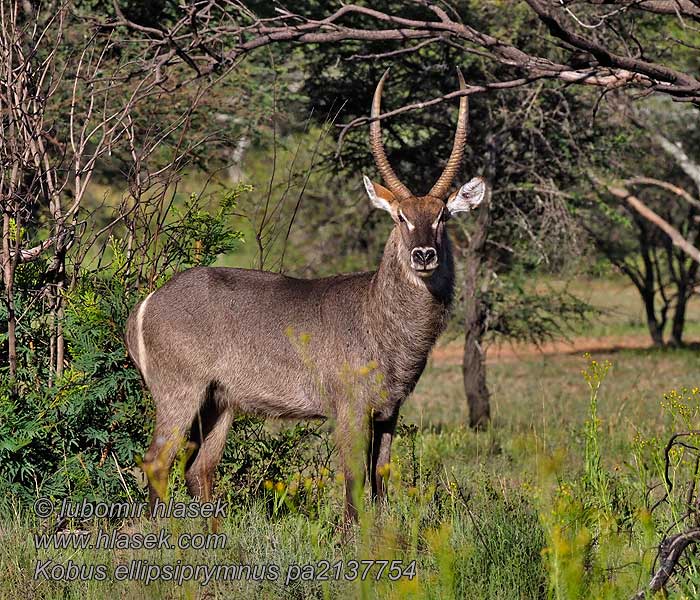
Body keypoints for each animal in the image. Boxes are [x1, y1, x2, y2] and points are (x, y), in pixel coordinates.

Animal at [126, 69, 484, 520]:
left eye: (442, 217)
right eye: (401, 217)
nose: (423, 254)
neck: (380, 320)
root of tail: (145, 304)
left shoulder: (389, 410)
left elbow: (381, 481)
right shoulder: (350, 407)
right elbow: (353, 481)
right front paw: (354, 534)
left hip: (219, 401)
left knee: (199, 469)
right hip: (180, 391)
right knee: (157, 461)